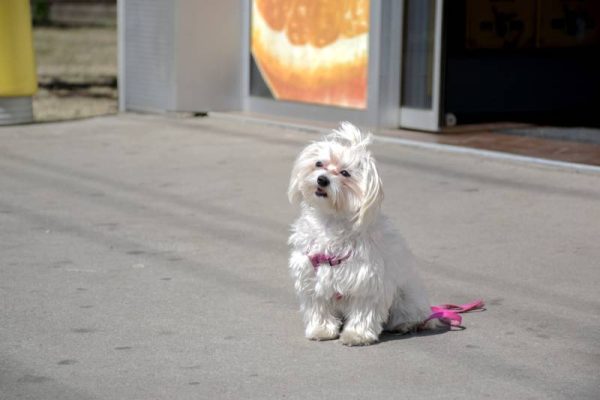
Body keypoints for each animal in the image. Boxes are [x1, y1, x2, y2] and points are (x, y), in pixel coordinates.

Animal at [288, 123, 436, 346]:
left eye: (345, 173)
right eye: (319, 163)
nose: (322, 179)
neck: (330, 221)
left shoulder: (367, 282)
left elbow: (363, 312)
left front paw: (356, 335)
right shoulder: (311, 277)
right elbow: (319, 307)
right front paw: (321, 329)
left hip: (407, 296)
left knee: (411, 314)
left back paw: (406, 324)